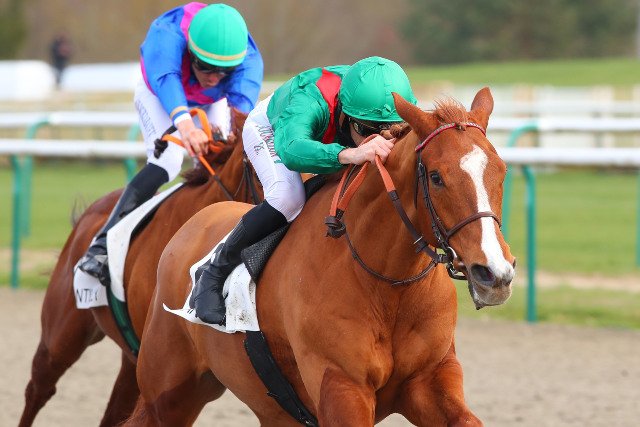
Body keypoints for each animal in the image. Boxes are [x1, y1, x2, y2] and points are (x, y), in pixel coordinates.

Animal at [126, 87, 515, 426]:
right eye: (436, 177)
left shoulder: (429, 380)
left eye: (501, 171)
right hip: (167, 394)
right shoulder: (341, 386)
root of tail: (190, 226)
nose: (494, 273)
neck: (388, 286)